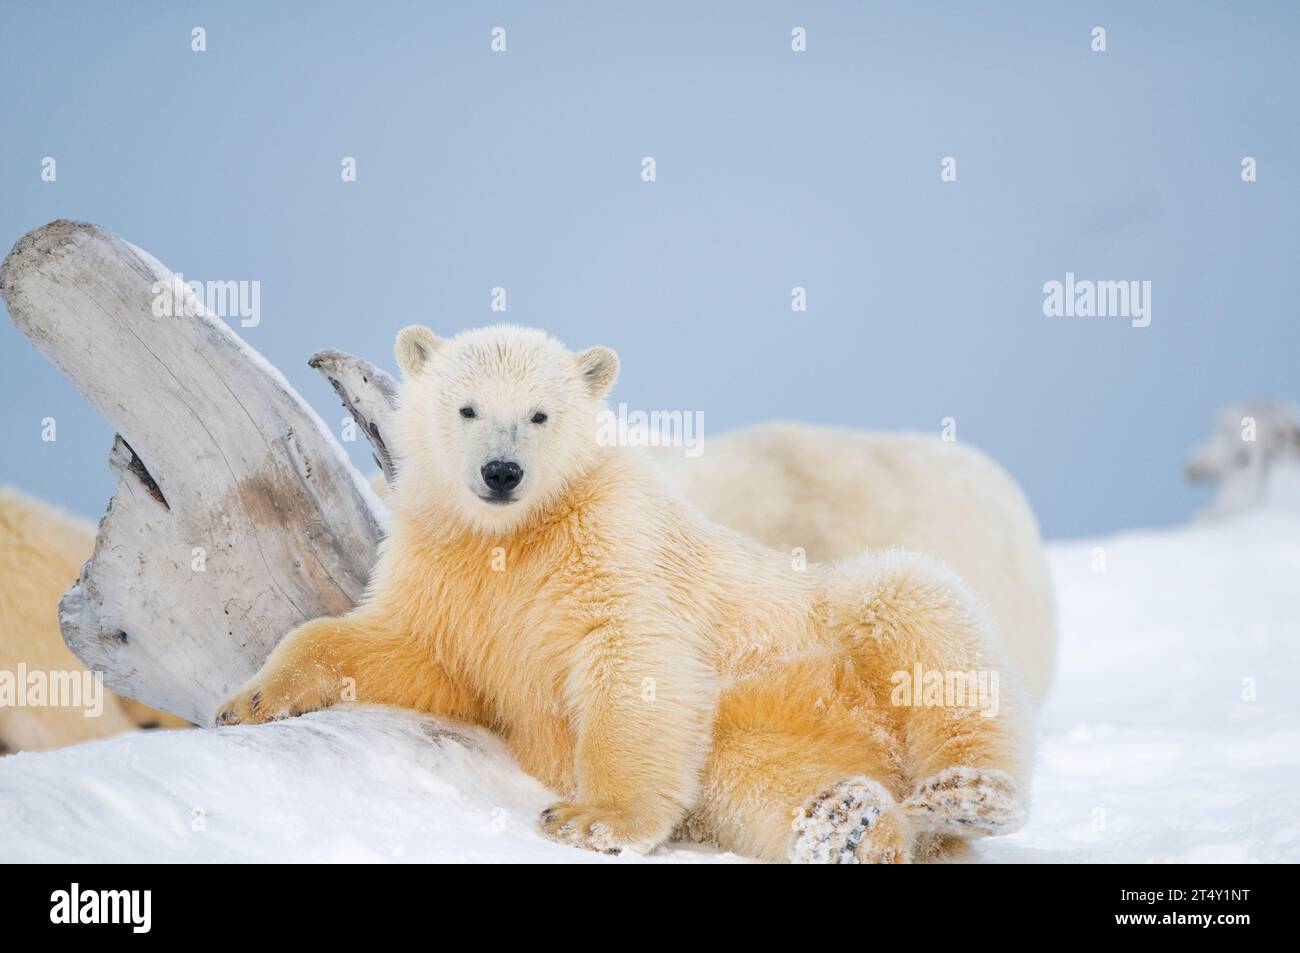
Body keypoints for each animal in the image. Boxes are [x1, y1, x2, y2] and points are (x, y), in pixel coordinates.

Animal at [218, 325, 1050, 863]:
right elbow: (407, 652)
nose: (501, 471)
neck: (514, 536)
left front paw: (591, 818)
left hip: (839, 630)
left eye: (541, 413)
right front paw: (248, 699)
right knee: (768, 788)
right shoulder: (446, 573)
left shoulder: (614, 535)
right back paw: (847, 823)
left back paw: (969, 790)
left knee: (916, 609)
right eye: (466, 407)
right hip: (755, 747)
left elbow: (634, 651)